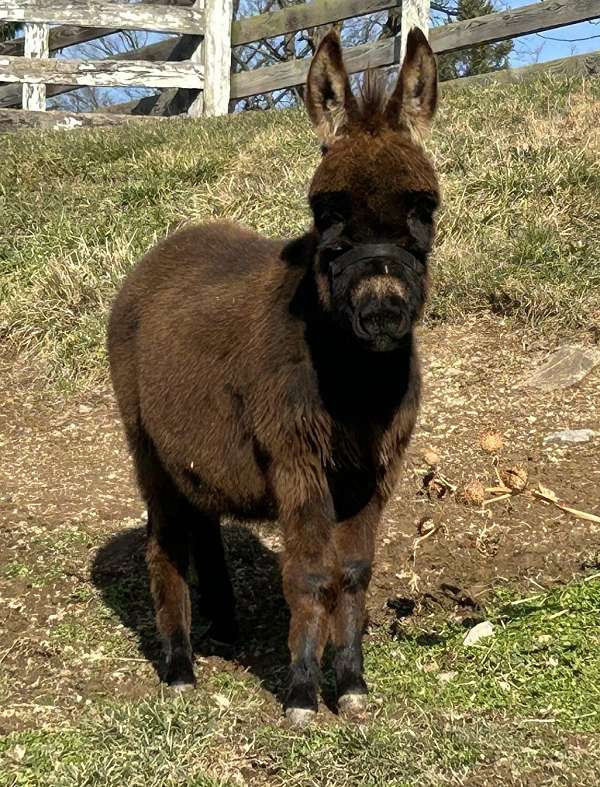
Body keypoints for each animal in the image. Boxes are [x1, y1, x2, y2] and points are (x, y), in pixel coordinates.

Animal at [108, 27, 438, 724]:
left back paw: (225, 631)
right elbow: (311, 574)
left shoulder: (375, 471)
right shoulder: (297, 461)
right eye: (326, 213)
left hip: (197, 455)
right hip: (146, 447)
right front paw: (303, 694)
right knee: (165, 543)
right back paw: (179, 667)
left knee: (203, 526)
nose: (382, 312)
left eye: (424, 209)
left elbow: (354, 572)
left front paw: (352, 684)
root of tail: (166, 247)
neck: (354, 383)